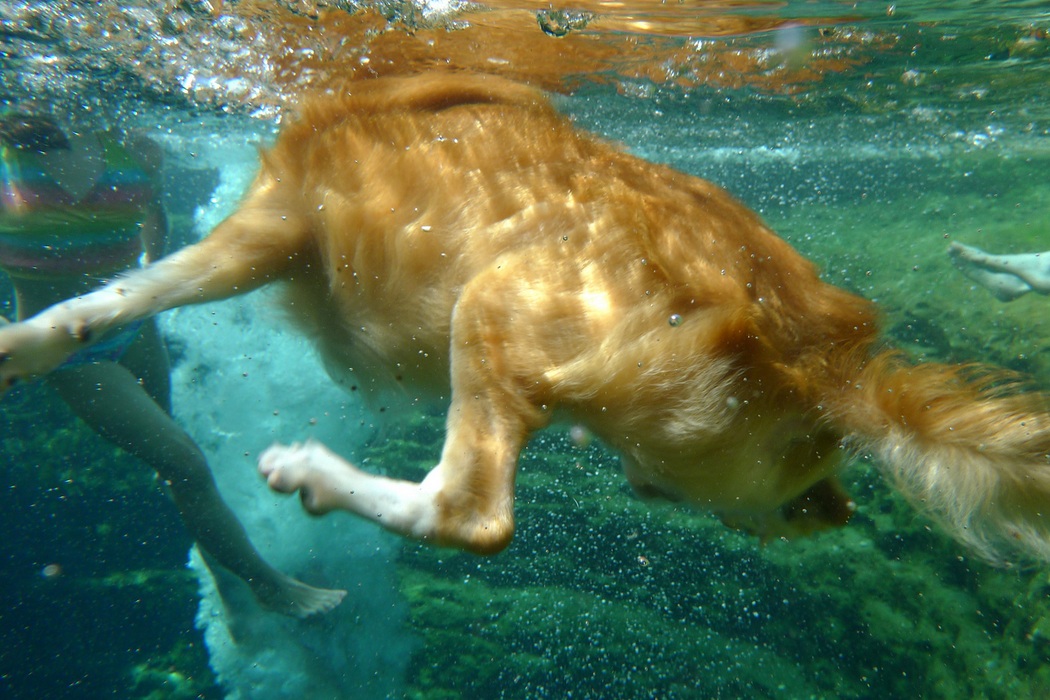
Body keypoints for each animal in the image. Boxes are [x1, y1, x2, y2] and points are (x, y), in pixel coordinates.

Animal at [2, 72, 1050, 562]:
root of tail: (831, 363)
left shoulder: (277, 218)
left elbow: (129, 292)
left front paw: (28, 342)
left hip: (489, 304)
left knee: (470, 512)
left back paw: (311, 473)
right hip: (712, 475)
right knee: (815, 513)